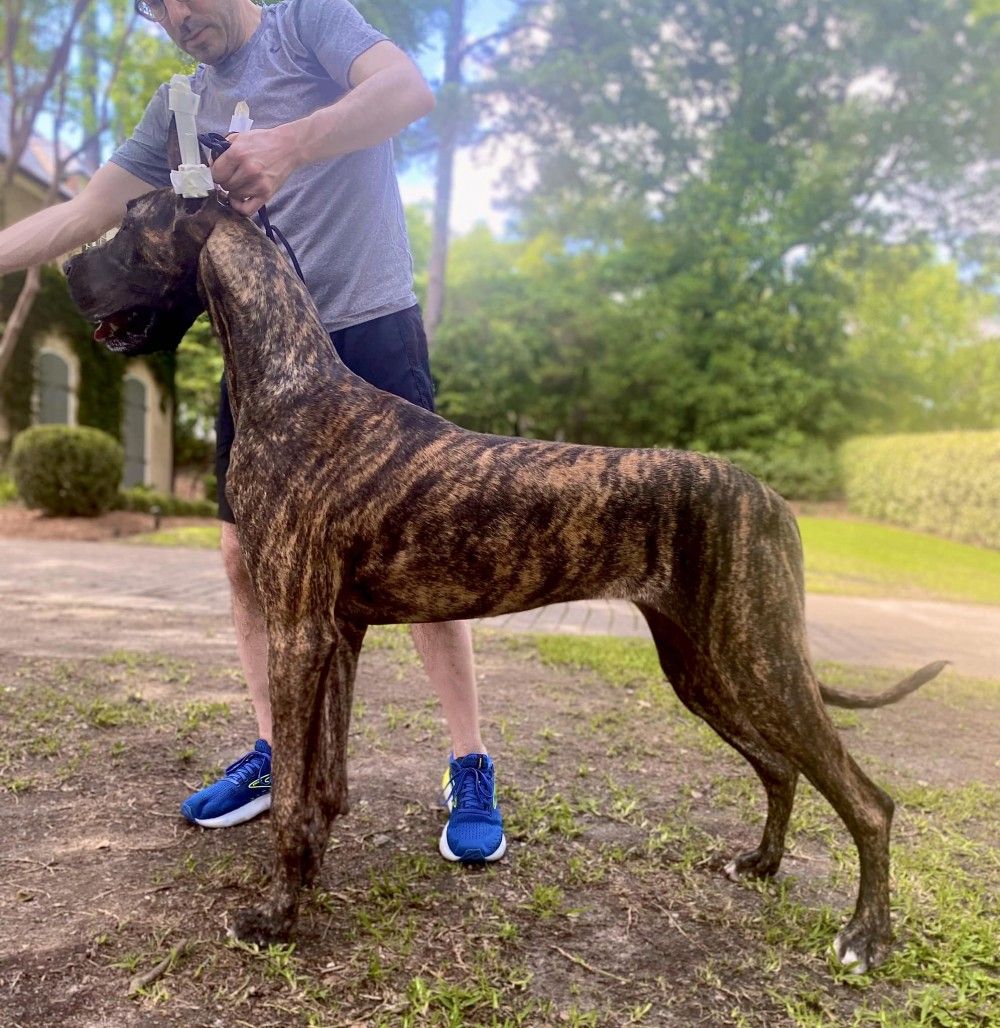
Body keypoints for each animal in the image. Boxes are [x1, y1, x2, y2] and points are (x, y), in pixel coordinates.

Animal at [64, 184, 945, 974]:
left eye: (129, 225)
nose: (70, 268)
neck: (292, 386)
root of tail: (774, 500)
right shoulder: (337, 635)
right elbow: (321, 786)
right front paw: (307, 879)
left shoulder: (298, 632)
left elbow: (289, 797)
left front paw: (276, 918)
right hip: (702, 665)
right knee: (781, 766)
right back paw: (759, 865)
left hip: (757, 656)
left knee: (867, 799)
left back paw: (867, 939)